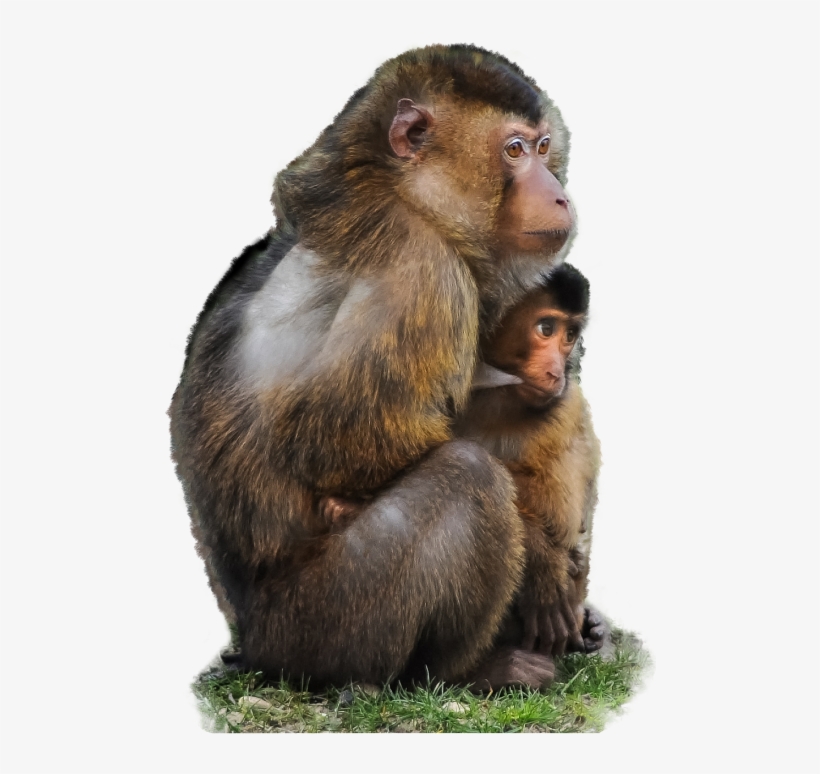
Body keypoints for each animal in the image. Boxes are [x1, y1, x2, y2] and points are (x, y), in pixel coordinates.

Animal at [170, 45, 576, 692]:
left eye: (542, 148)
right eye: (514, 150)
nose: (559, 194)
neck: (396, 192)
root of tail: (253, 643)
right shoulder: (423, 270)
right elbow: (338, 442)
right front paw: (540, 558)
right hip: (323, 625)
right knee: (468, 475)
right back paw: (466, 670)